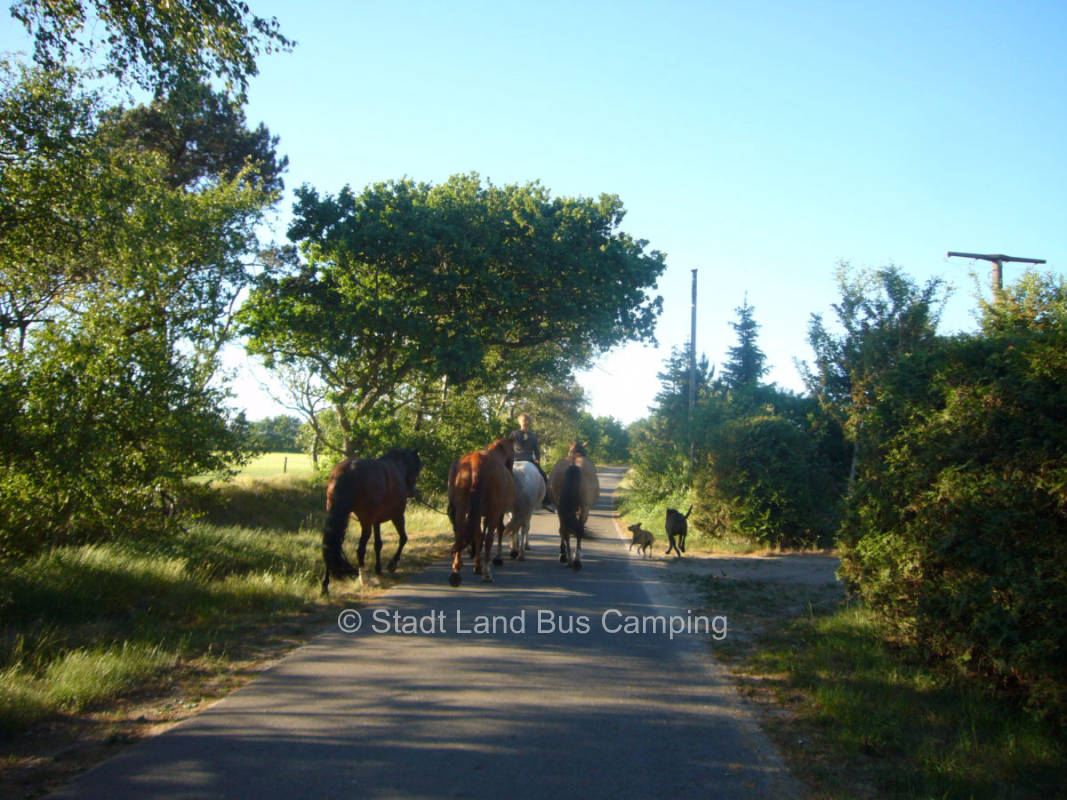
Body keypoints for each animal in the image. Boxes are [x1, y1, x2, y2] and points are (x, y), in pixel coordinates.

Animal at [321, 448, 422, 595]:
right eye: (417, 468)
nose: (413, 492)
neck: (397, 467)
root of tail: (347, 471)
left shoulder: (376, 521)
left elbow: (378, 544)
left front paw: (378, 569)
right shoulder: (397, 516)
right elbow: (403, 538)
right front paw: (392, 564)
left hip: (339, 519)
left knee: (332, 546)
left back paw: (325, 586)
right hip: (366, 522)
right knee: (359, 549)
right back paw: (363, 579)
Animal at [447, 438, 515, 586]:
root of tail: (475, 461)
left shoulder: (477, 514)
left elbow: (478, 535)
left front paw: (477, 565)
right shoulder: (496, 513)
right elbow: (494, 532)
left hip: (461, 509)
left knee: (460, 534)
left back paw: (456, 571)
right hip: (492, 512)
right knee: (489, 538)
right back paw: (486, 573)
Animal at [548, 442, 600, 570]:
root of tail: (573, 465)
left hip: (561, 508)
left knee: (564, 530)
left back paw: (567, 558)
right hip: (584, 508)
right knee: (578, 530)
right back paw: (575, 559)